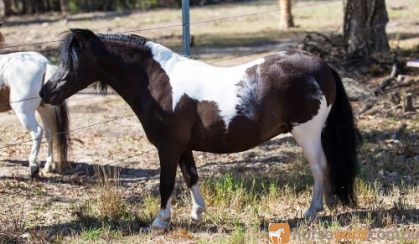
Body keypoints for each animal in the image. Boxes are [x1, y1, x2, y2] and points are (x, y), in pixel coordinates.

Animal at [40, 29, 360, 230]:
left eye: (73, 61)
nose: (46, 91)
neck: (158, 83)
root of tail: (322, 65)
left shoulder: (168, 147)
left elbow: (166, 183)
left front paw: (160, 221)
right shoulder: (183, 147)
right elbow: (191, 176)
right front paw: (197, 213)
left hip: (307, 133)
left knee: (320, 167)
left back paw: (312, 211)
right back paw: (327, 205)